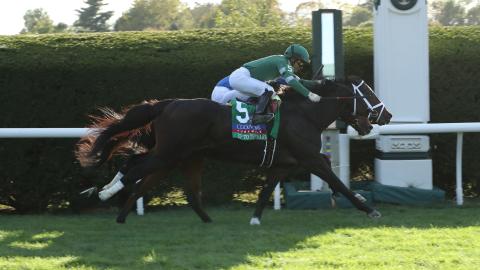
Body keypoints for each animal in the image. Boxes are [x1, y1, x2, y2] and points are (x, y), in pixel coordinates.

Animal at [75, 77, 390, 224]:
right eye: (368, 93)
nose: (386, 115)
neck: (305, 113)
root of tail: (166, 104)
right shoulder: (310, 158)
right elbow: (338, 180)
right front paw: (369, 208)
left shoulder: (284, 164)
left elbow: (266, 189)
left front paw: (255, 218)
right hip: (169, 154)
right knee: (134, 170)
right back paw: (104, 193)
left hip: (180, 157)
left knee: (149, 176)